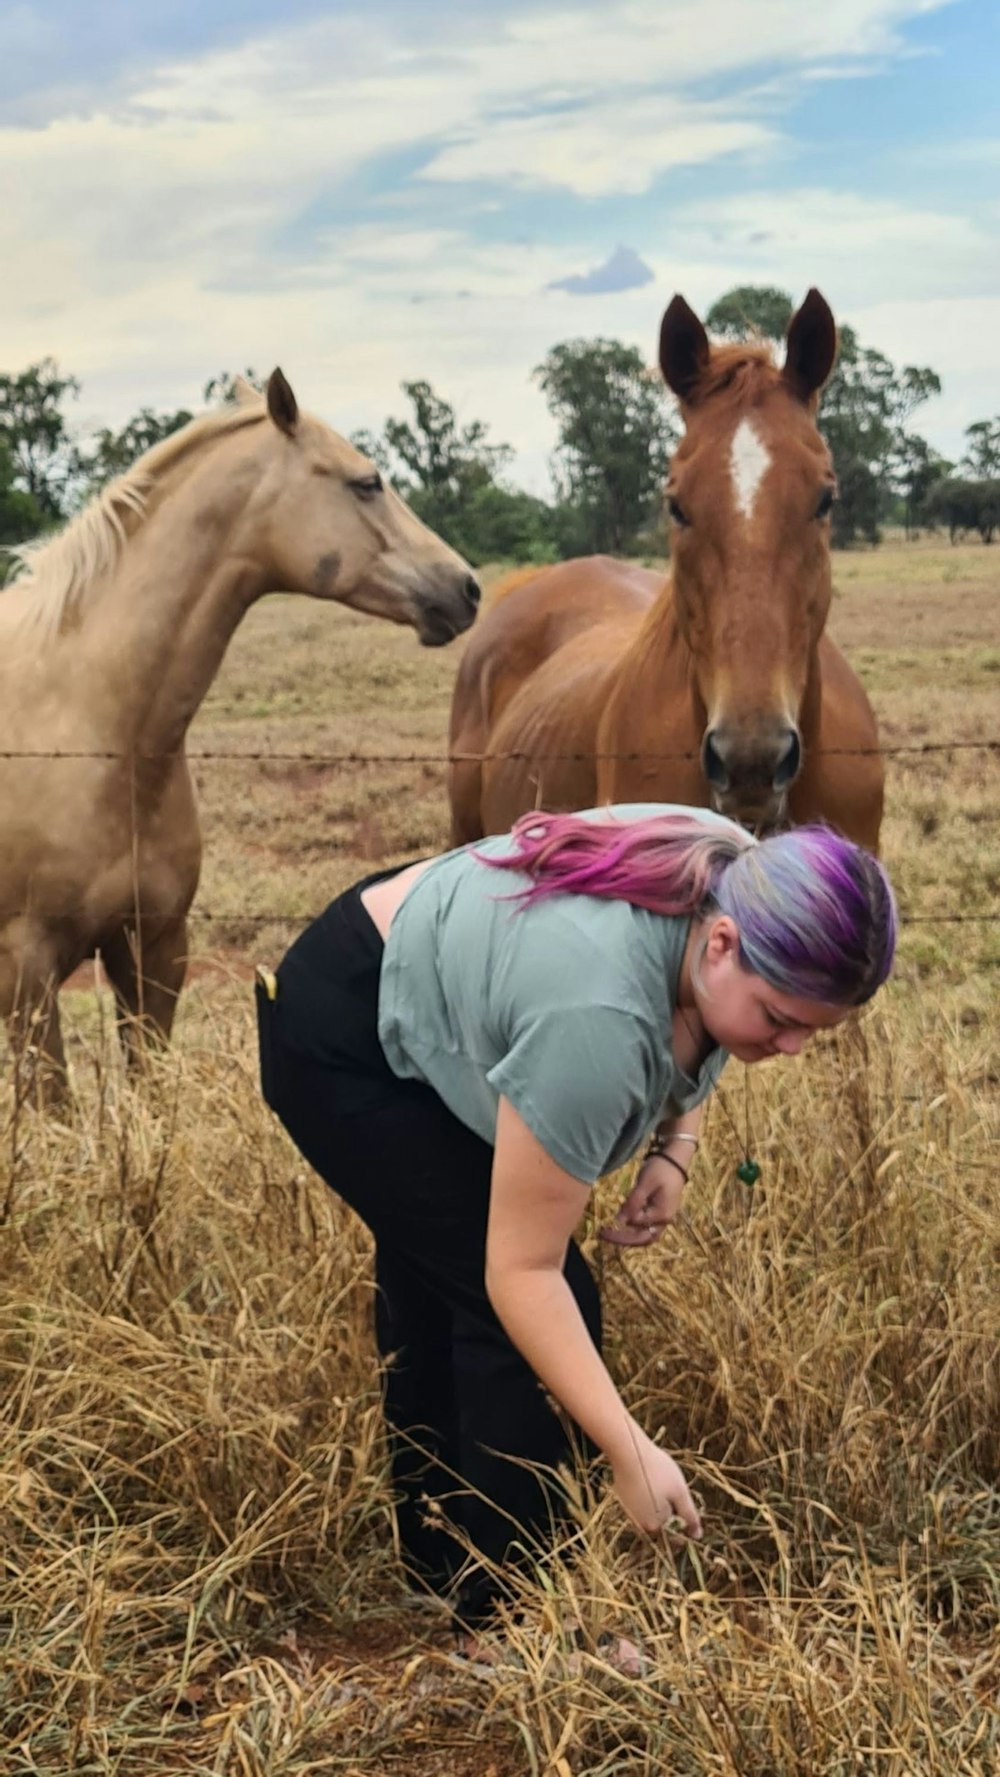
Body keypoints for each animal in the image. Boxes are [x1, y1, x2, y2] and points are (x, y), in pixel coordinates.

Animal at [1, 369, 479, 1101]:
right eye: (365, 482)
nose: (467, 588)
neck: (86, 727)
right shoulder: (27, 971)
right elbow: (53, 1106)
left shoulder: (155, 948)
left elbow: (149, 1087)